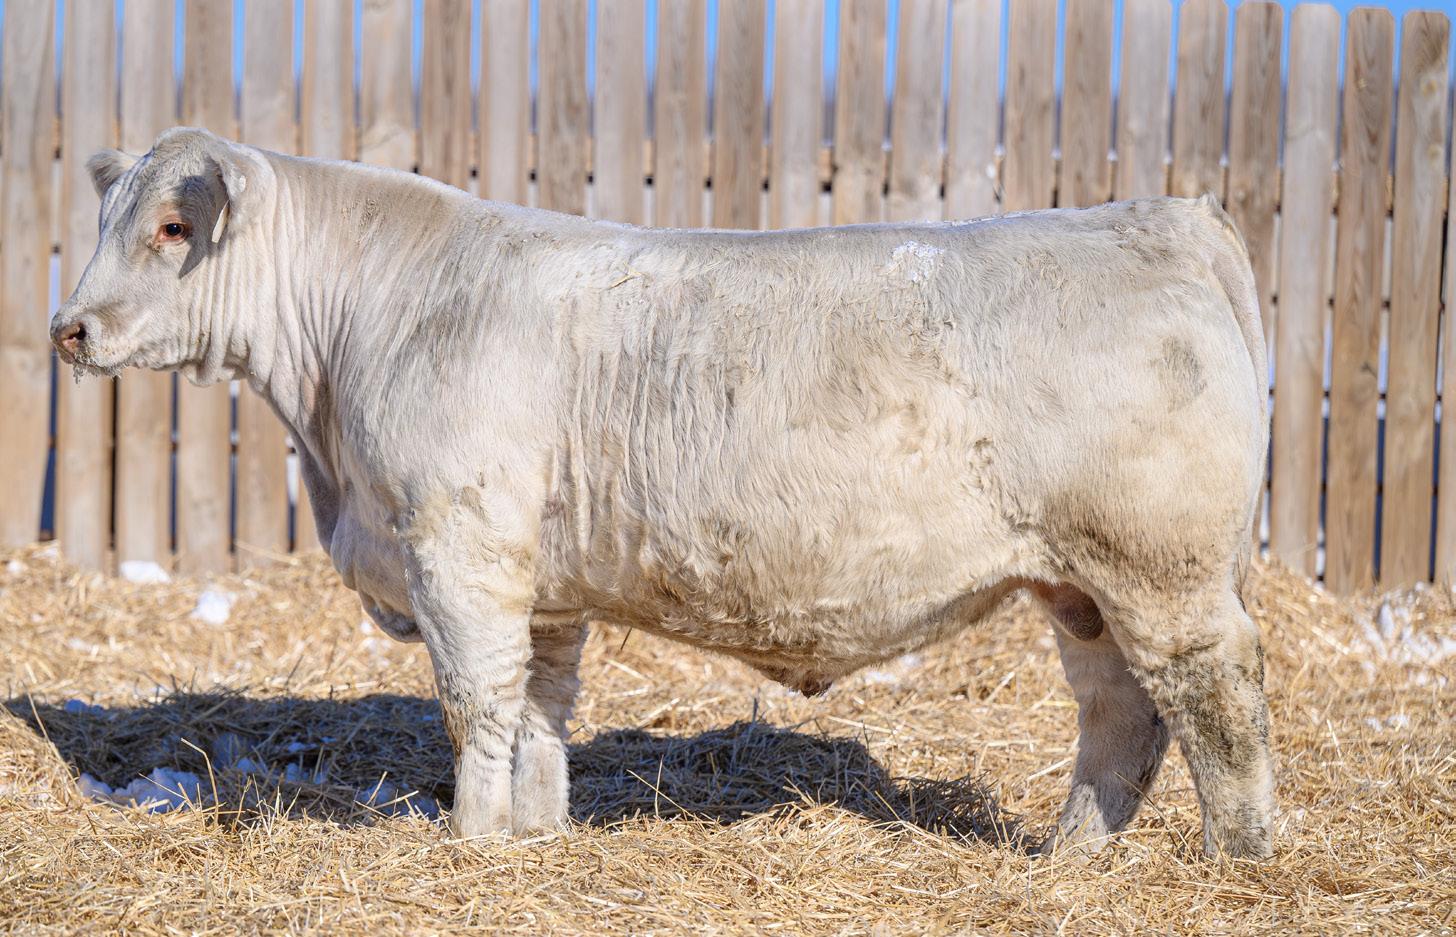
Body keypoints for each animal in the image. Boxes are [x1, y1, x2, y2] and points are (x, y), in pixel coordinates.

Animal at [51, 127, 1274, 858]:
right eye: (108, 220)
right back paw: (1072, 856)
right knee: (1120, 715)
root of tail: (1158, 216)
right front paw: (536, 835)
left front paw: (471, 841)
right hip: (1083, 585)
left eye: (171, 228)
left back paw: (1240, 856)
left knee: (1215, 696)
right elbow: (541, 712)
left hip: (1161, 567)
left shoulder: (460, 554)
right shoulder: (542, 585)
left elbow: (476, 705)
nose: (68, 328)